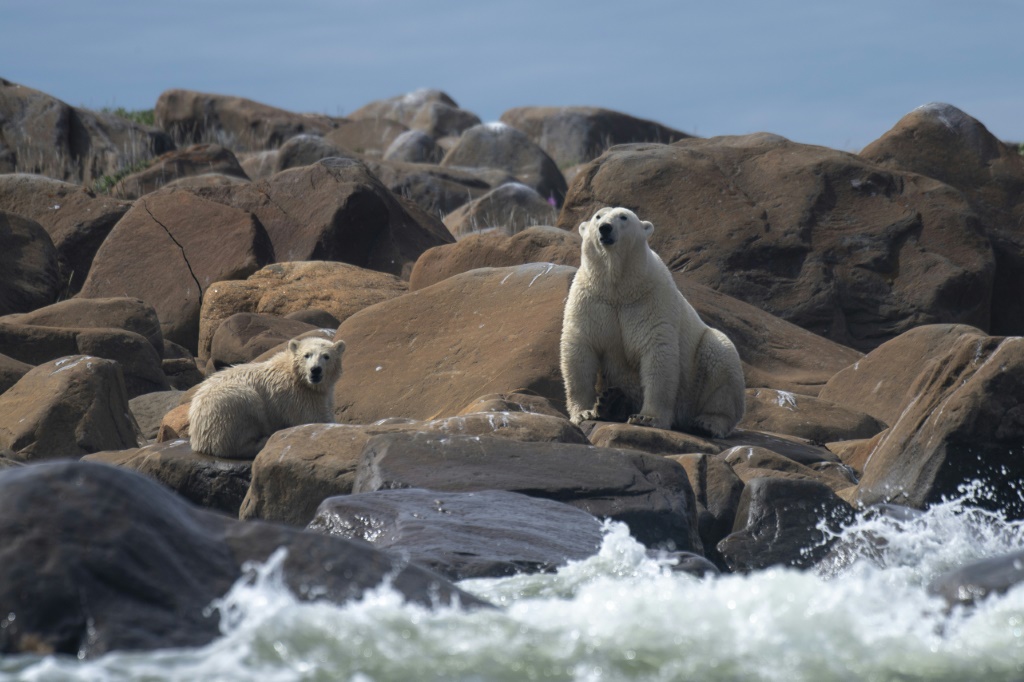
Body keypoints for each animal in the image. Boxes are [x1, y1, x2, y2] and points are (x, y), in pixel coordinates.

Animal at [185, 333, 344, 456]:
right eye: (307, 355)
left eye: (326, 356)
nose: (315, 370)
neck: (294, 374)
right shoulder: (297, 397)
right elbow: (314, 419)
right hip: (228, 405)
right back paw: (263, 441)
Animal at [561, 204, 745, 436]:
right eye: (598, 216)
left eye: (624, 217)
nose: (605, 228)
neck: (618, 287)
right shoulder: (592, 301)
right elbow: (580, 349)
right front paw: (584, 412)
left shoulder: (651, 300)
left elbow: (657, 352)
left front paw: (647, 418)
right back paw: (610, 402)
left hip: (698, 372)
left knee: (721, 362)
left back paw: (708, 423)